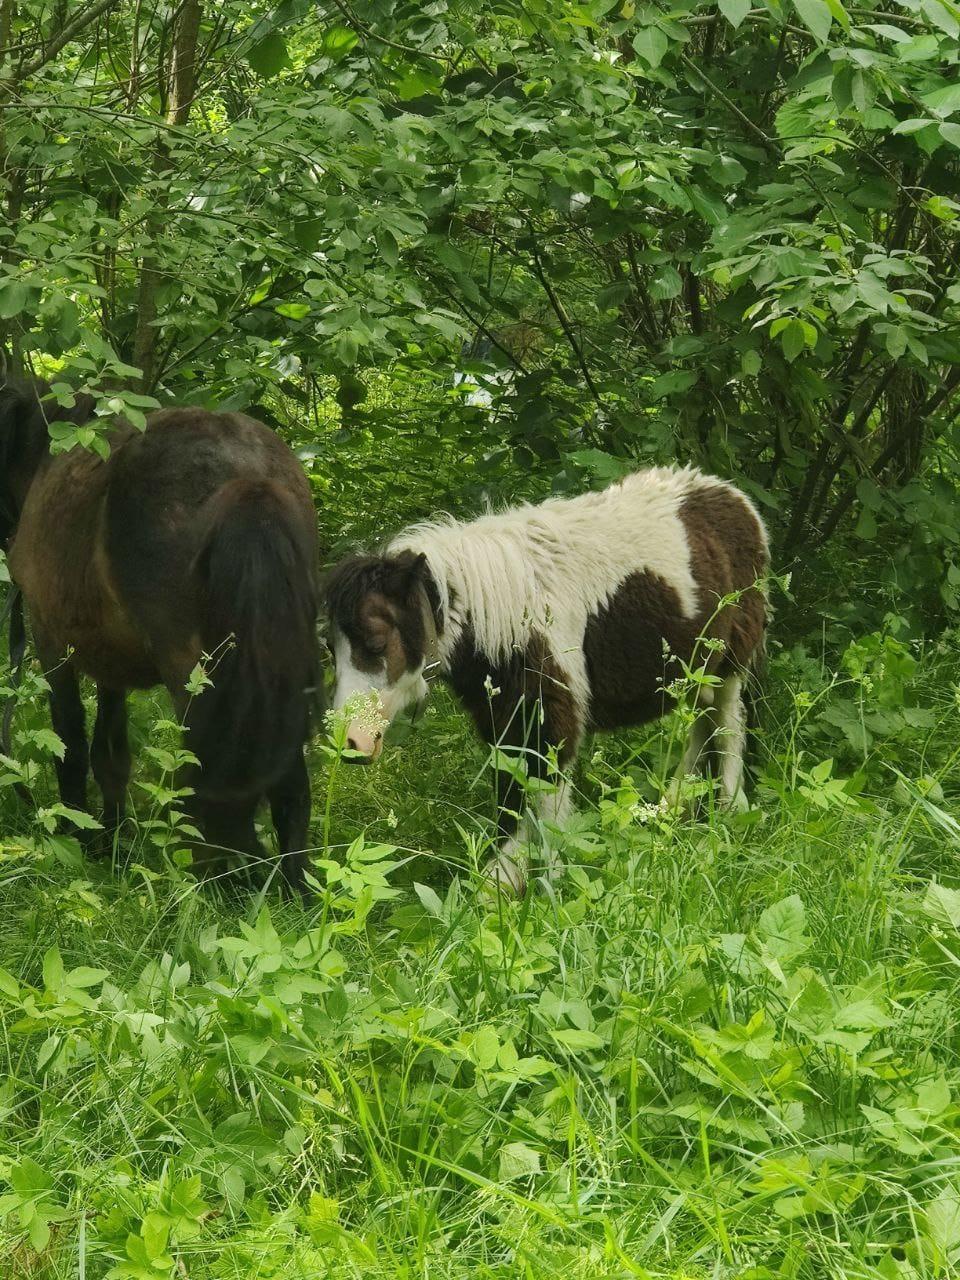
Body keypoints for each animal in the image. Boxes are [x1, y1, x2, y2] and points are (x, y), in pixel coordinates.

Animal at [0, 378, 323, 890]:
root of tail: (247, 476)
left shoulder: (52, 641)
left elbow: (70, 742)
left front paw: (77, 839)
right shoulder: (110, 663)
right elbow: (110, 753)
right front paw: (113, 840)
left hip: (190, 672)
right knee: (290, 786)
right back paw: (292, 886)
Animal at [327, 465, 773, 896]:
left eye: (375, 642)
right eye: (330, 648)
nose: (350, 742)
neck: (507, 615)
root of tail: (734, 496)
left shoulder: (552, 712)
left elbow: (547, 801)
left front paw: (552, 886)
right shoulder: (504, 713)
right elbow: (513, 789)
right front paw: (501, 882)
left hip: (732, 665)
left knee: (729, 726)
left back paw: (731, 812)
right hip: (696, 671)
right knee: (701, 725)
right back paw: (671, 807)